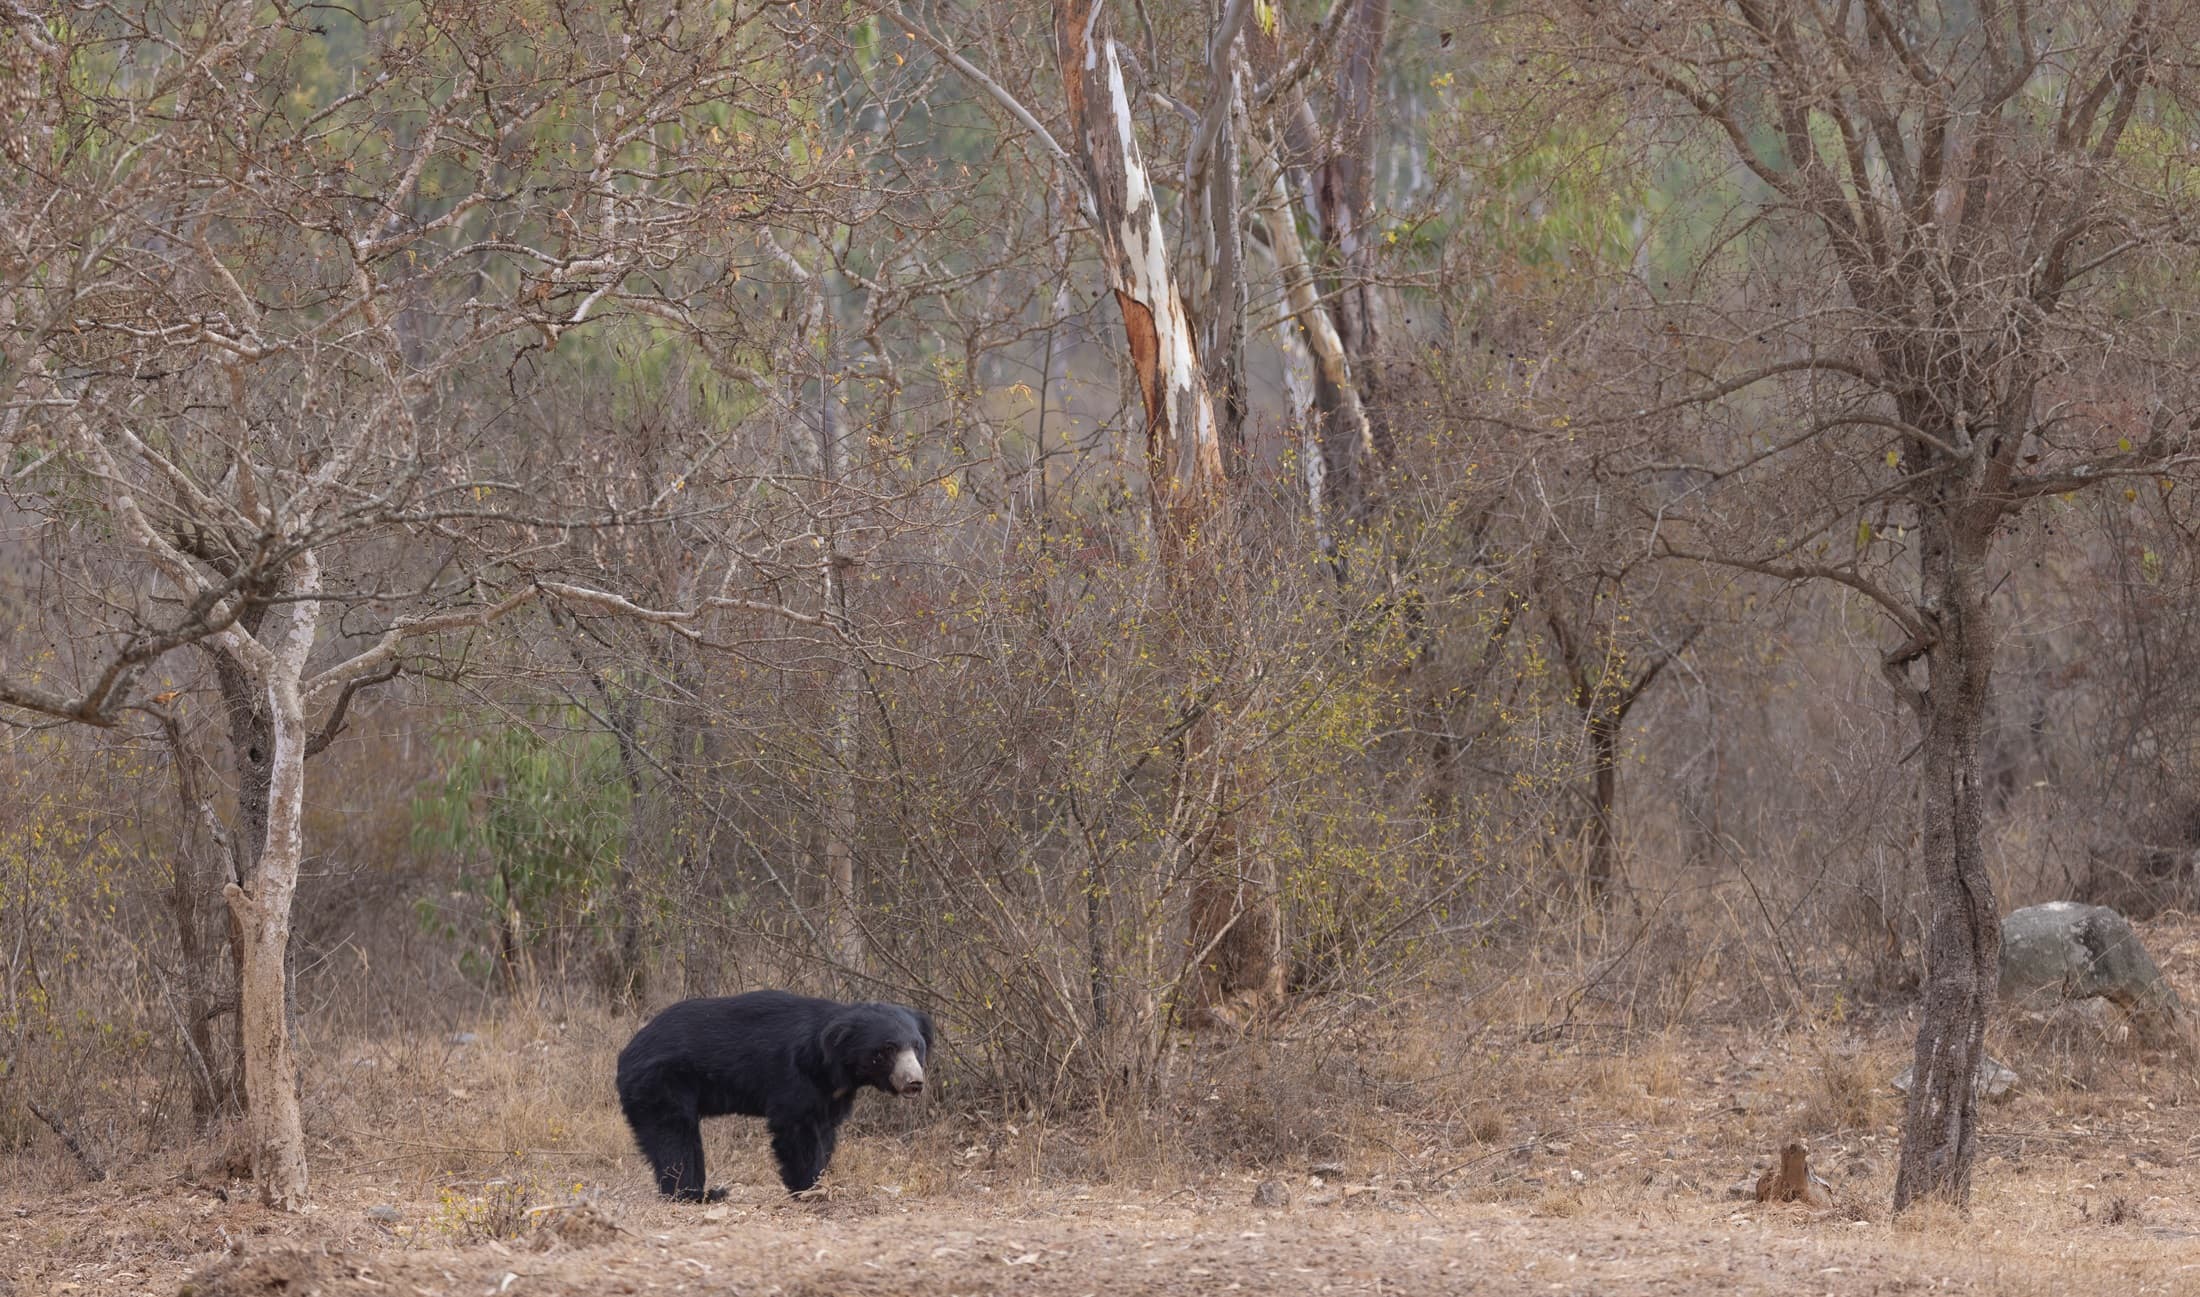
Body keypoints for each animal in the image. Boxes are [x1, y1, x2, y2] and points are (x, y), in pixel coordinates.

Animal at [616, 998, 932, 1195]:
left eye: (917, 1046)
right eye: (887, 1049)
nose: (915, 1083)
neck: (833, 1064)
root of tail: (626, 1054)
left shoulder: (831, 1094)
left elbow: (826, 1132)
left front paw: (819, 1181)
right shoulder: (795, 1075)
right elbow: (797, 1130)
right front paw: (807, 1187)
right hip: (660, 1083)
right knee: (672, 1136)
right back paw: (692, 1193)